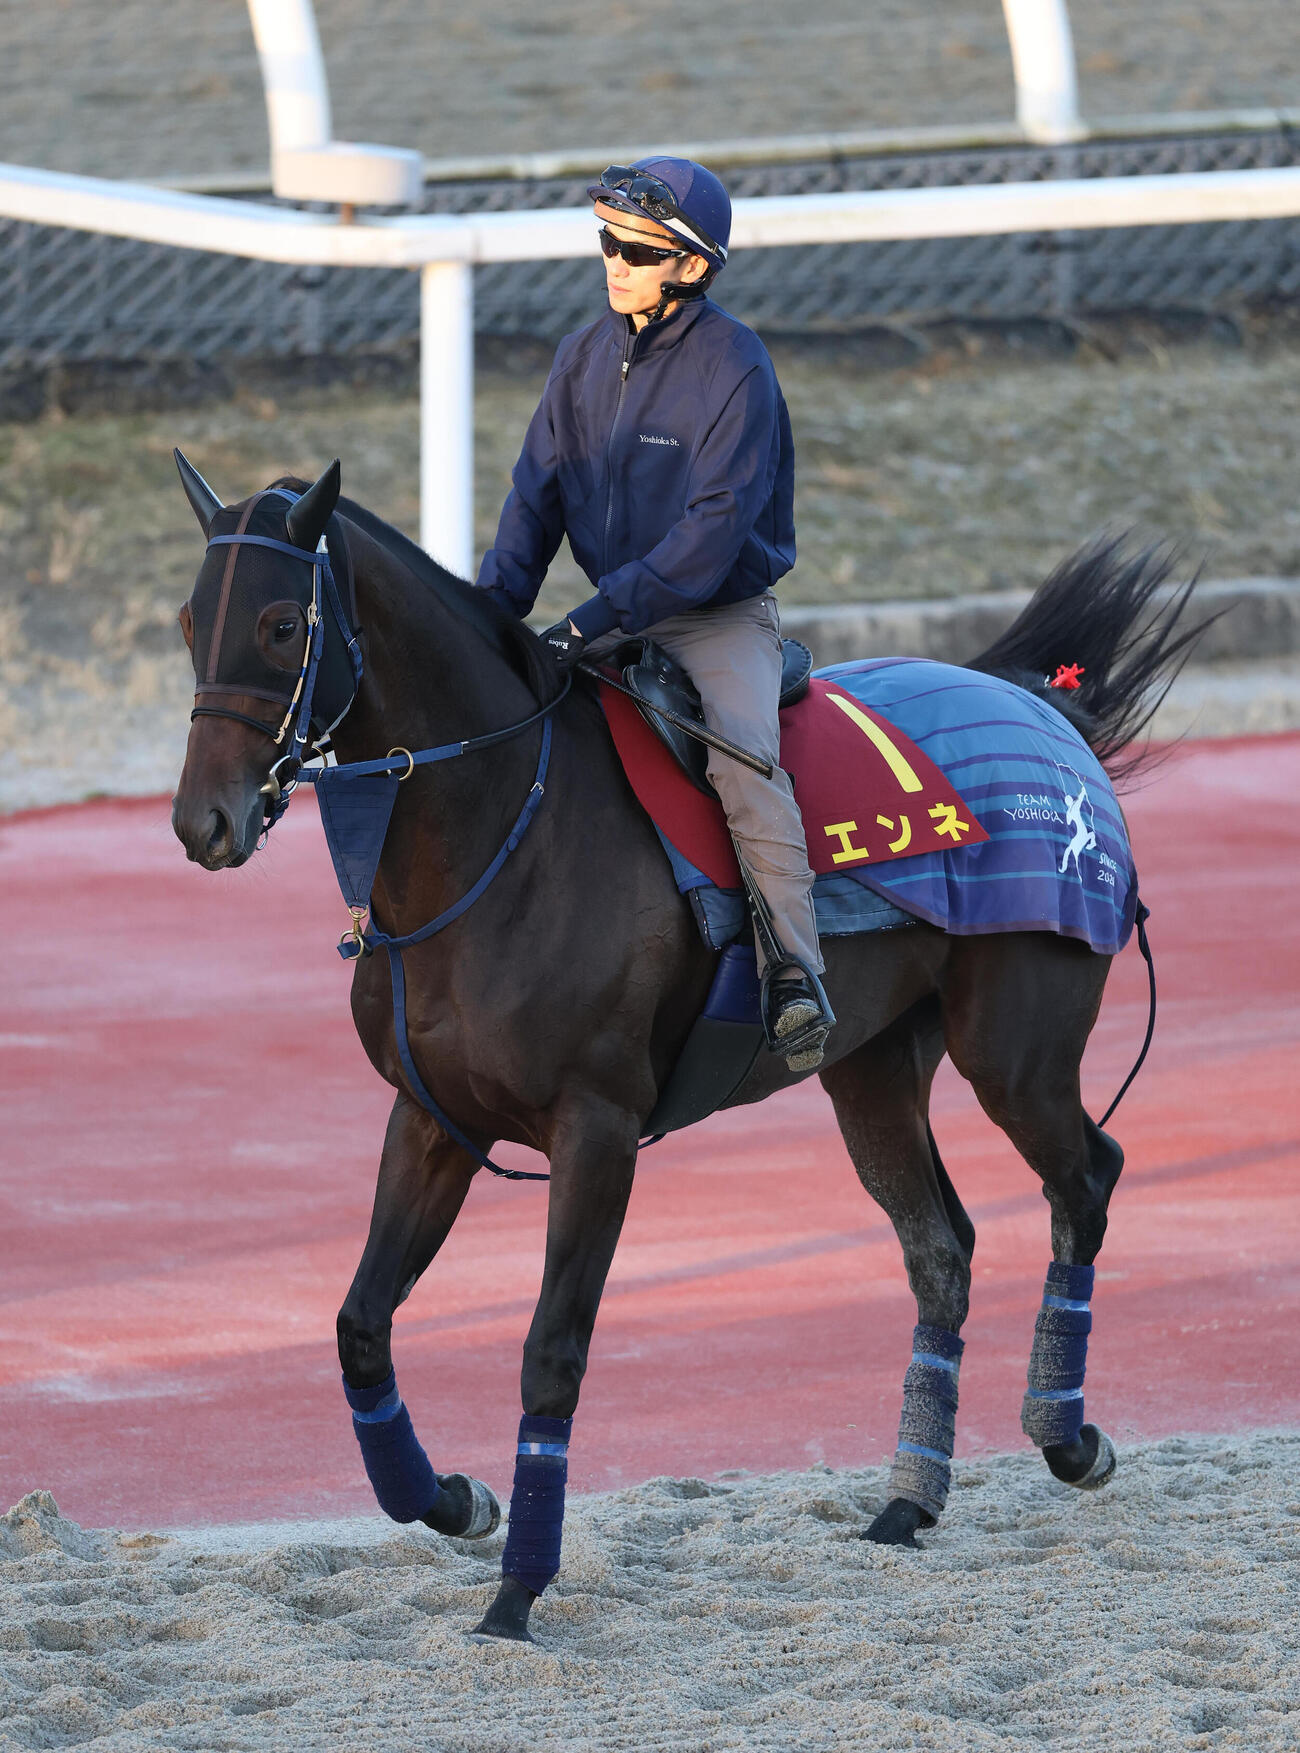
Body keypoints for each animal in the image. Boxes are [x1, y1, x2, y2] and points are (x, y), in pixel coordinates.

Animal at [170, 454, 1205, 1644]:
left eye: (285, 623)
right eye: (190, 620)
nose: (203, 821)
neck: (500, 834)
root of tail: (1038, 700)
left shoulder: (597, 1128)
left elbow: (551, 1350)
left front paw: (517, 1591)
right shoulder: (432, 1116)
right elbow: (358, 1325)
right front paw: (453, 1498)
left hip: (1017, 1050)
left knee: (1088, 1177)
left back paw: (1067, 1435)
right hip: (871, 1070)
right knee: (940, 1245)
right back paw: (908, 1498)